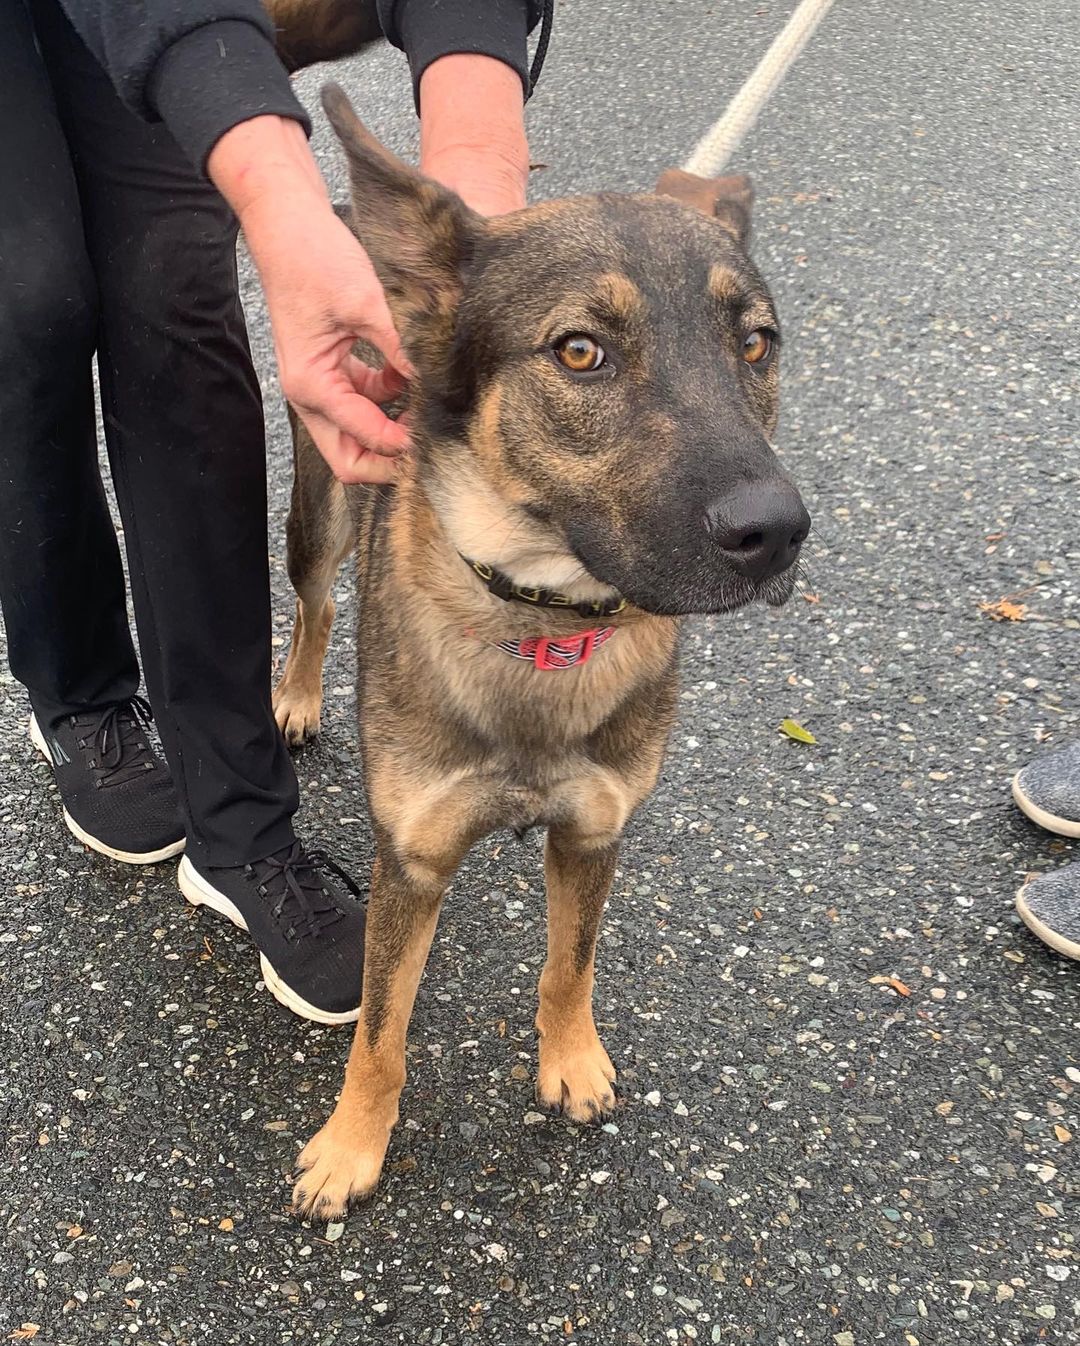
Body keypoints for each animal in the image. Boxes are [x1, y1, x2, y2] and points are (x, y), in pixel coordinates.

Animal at [269, 76, 807, 1222]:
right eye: (579, 352)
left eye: (756, 343)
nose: (777, 531)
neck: (542, 623)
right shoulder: (410, 862)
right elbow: (381, 1032)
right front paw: (350, 1147)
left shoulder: (594, 834)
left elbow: (571, 966)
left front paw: (570, 1059)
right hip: (320, 500)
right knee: (318, 602)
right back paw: (296, 693)